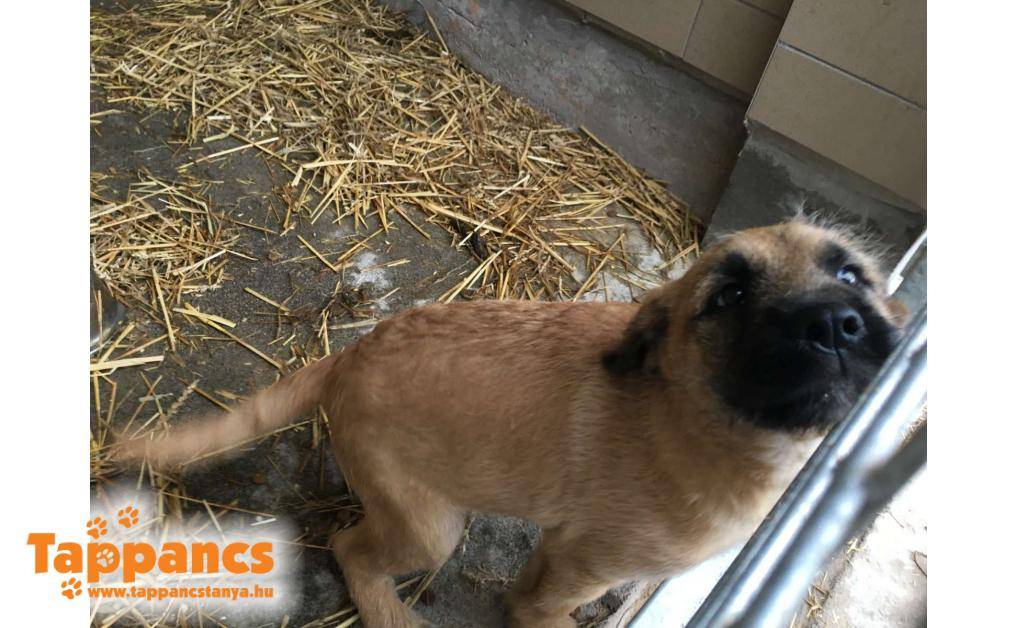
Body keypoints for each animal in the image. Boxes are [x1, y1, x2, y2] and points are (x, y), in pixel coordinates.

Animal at [116, 219, 907, 627]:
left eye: (850, 276)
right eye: (730, 296)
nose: (834, 326)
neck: (686, 416)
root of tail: (350, 356)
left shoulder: (560, 554)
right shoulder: (576, 568)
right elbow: (538, 609)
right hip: (428, 526)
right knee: (348, 549)